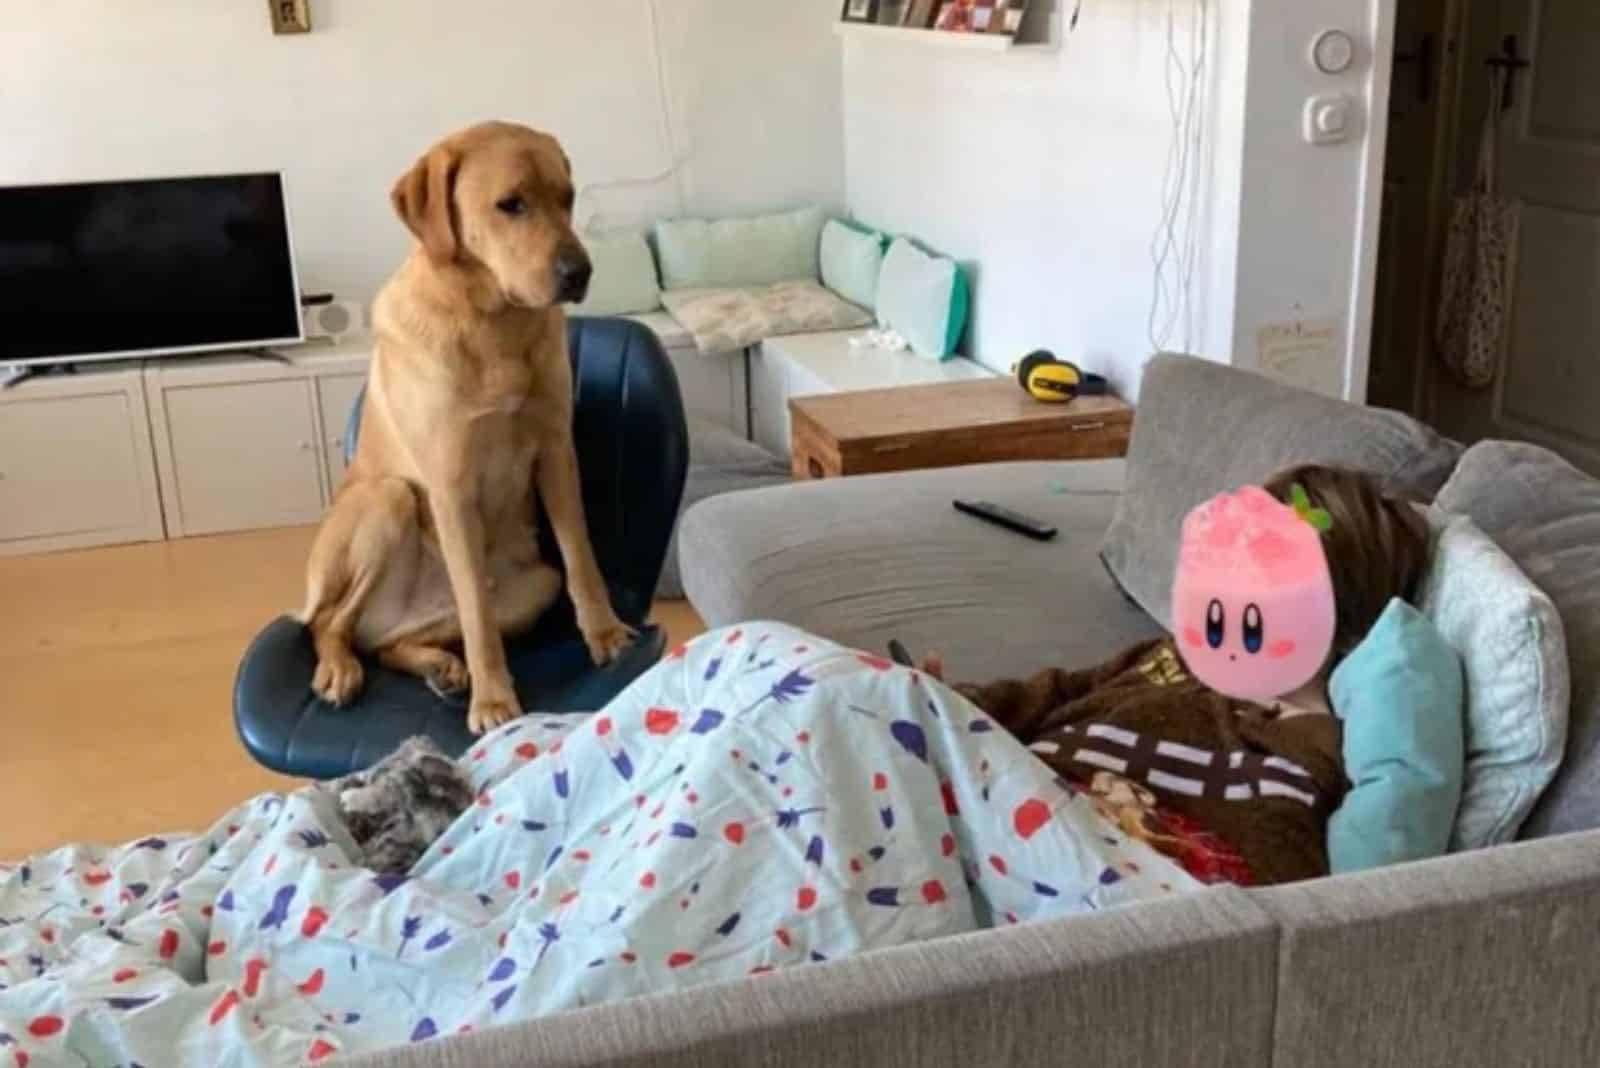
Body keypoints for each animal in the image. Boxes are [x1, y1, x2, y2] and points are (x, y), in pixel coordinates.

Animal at [300, 119, 630, 735]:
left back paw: (437, 664)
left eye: (568, 198)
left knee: (382, 642)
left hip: (534, 586)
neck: (493, 324)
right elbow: (477, 613)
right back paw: (340, 669)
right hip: (388, 499)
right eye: (511, 204)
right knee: (329, 622)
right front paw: (494, 699)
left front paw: (604, 632)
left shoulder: (556, 452)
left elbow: (581, 557)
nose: (581, 273)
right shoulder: (450, 486)